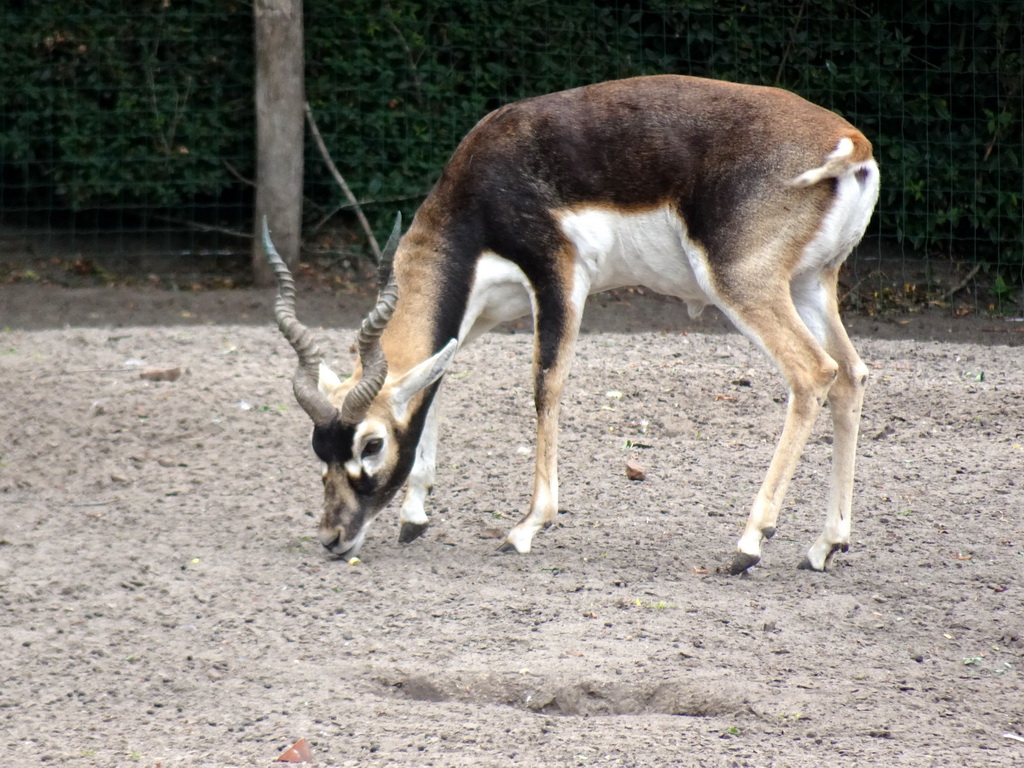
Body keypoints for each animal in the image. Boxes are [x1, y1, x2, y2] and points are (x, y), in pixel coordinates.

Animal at [266, 75, 880, 573]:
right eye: (320, 447)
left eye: (370, 444)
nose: (332, 537)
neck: (480, 195)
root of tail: (852, 141)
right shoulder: (477, 312)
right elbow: (437, 380)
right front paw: (415, 515)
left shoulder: (557, 276)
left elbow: (545, 385)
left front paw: (525, 527)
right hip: (811, 284)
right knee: (850, 375)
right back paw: (825, 545)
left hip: (742, 284)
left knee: (812, 372)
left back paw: (749, 543)